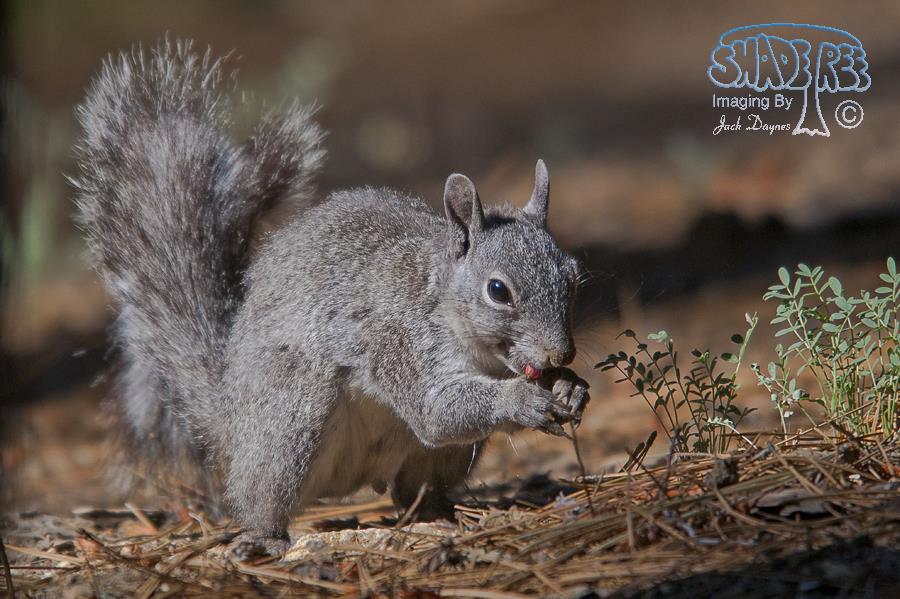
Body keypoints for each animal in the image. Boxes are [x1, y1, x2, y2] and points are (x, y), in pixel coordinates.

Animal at [73, 39, 590, 556]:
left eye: (573, 277)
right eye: (498, 291)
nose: (560, 353)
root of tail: (230, 416)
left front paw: (570, 387)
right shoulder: (396, 341)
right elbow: (434, 409)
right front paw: (522, 400)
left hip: (441, 458)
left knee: (412, 491)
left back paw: (440, 515)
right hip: (291, 409)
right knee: (261, 493)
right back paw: (265, 537)